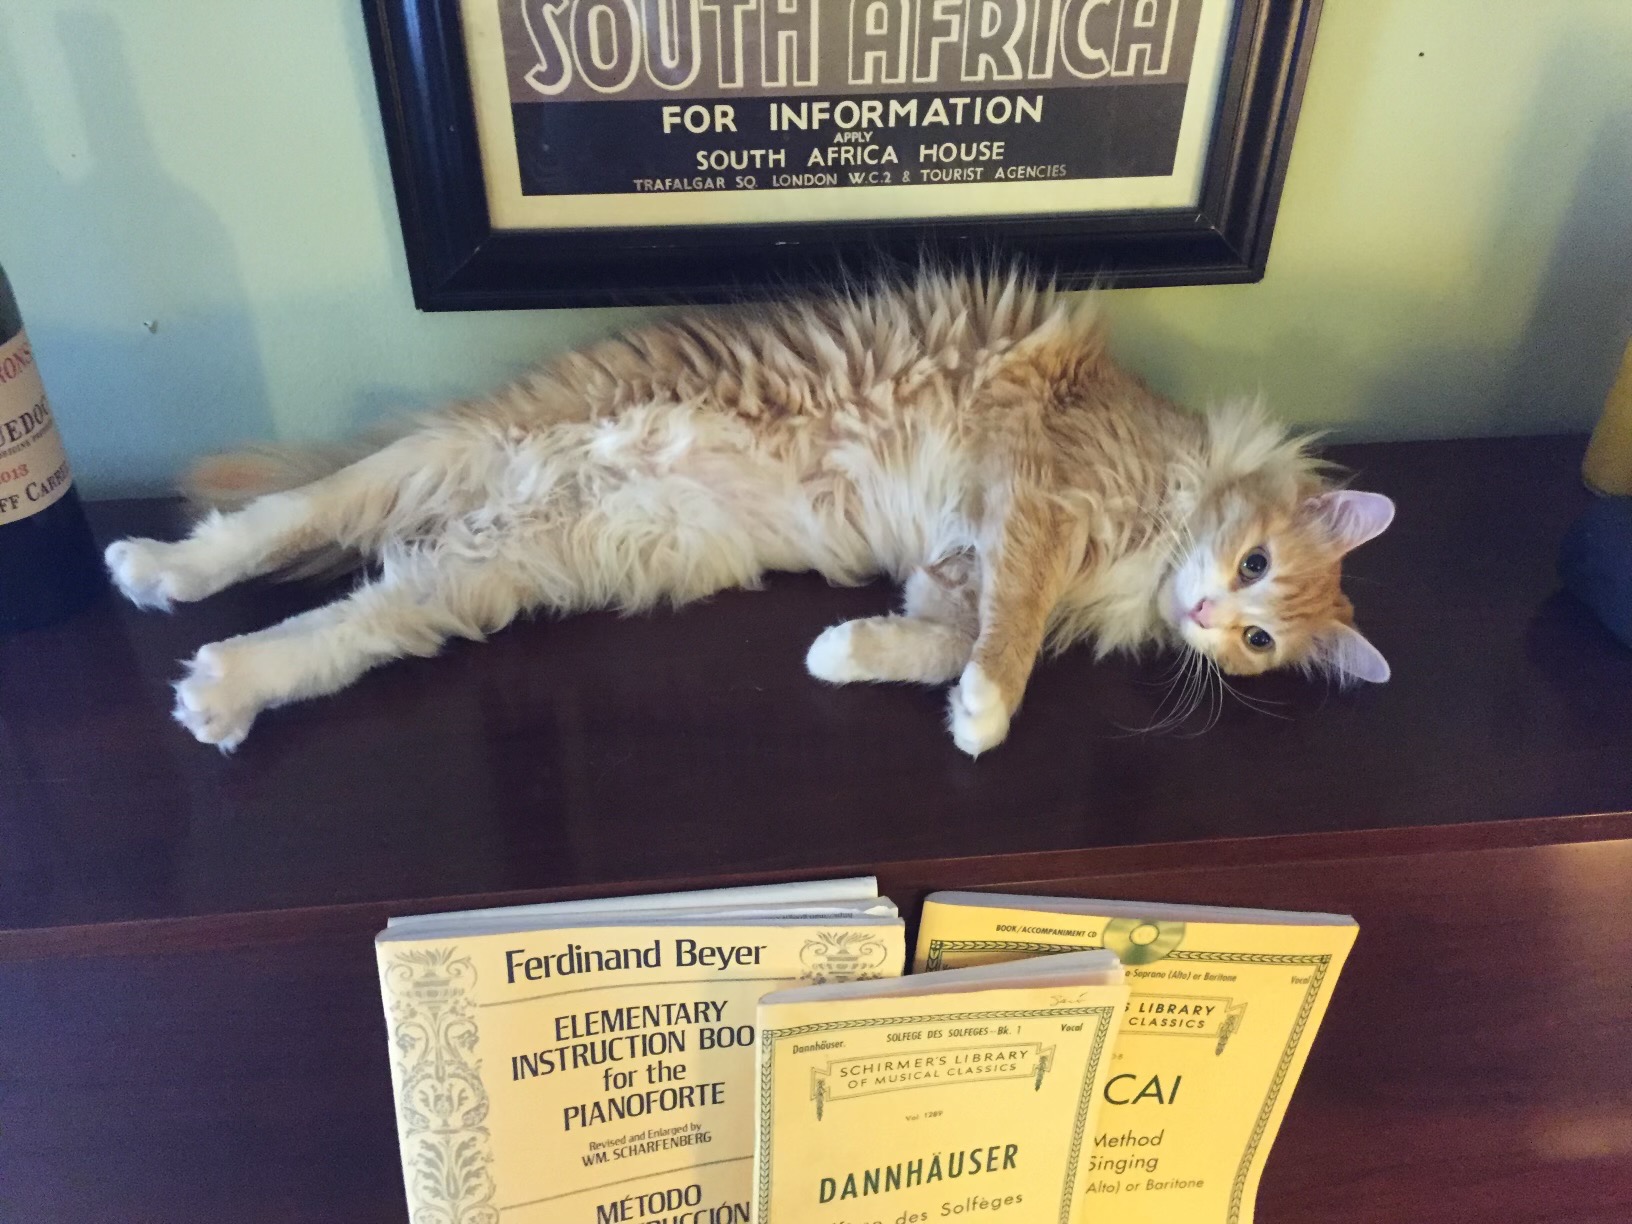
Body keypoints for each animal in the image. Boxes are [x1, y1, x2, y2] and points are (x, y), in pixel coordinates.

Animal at [104, 268, 1393, 754]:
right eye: (1255, 564)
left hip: (486, 573)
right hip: (468, 450)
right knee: (283, 518)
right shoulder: (1038, 490)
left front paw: (845, 655)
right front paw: (986, 717)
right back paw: (157, 570)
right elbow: (1012, 640)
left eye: (1260, 641)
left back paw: (220, 686)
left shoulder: (953, 568)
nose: (1209, 620)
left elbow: (937, 643)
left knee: (333, 626)